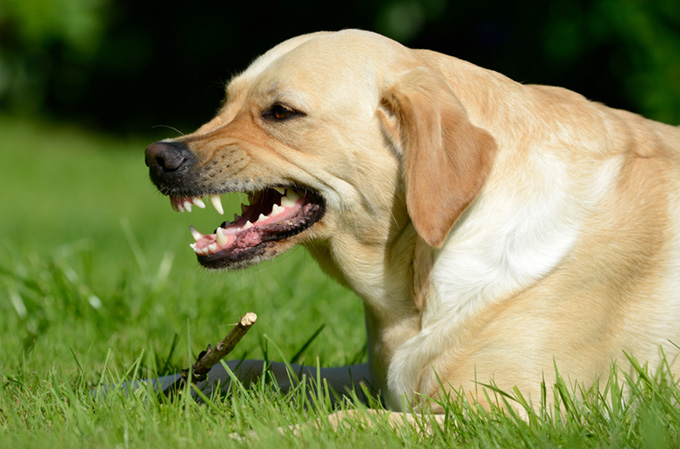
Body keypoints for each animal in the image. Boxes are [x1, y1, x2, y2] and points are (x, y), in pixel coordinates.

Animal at [145, 29, 680, 414]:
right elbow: (252, 363)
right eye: (225, 103)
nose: (158, 157)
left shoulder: (520, 414)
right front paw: (139, 387)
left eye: (281, 112)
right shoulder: (375, 376)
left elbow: (344, 421)